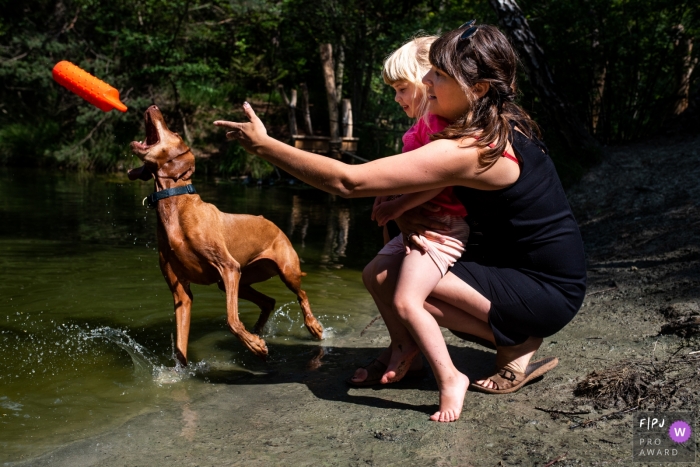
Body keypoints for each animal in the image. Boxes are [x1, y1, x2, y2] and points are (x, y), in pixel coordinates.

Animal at [128, 105, 322, 366]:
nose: (154, 107)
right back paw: (258, 330)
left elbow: (231, 320)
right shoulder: (182, 292)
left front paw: (255, 346)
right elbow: (180, 346)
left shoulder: (228, 267)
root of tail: (276, 226)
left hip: (284, 271)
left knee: (302, 294)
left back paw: (312, 326)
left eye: (175, 133)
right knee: (268, 301)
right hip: (239, 279)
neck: (176, 208)